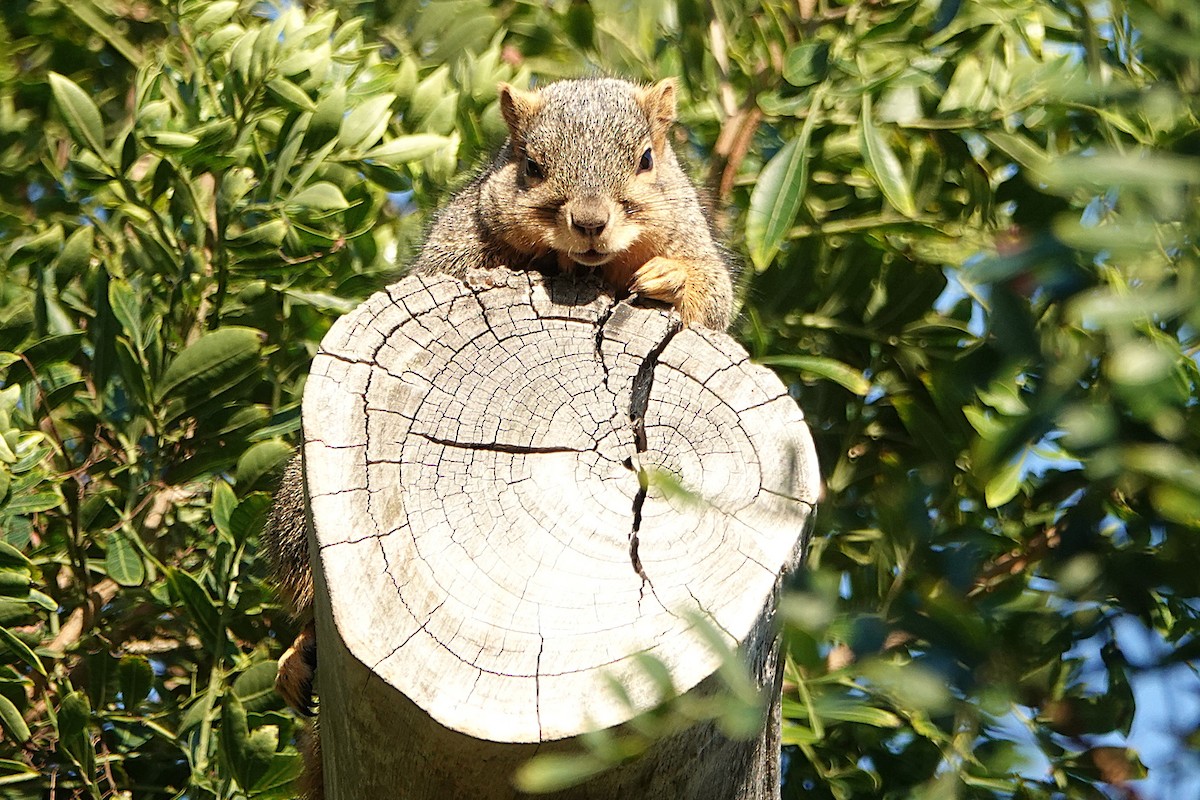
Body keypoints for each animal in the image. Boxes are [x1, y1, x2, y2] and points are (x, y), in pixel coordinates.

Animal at [260, 76, 735, 798]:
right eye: (531, 166)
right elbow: (454, 270)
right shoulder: (460, 235)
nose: (589, 222)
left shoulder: (693, 239)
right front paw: (501, 276)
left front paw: (668, 280)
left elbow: (713, 297)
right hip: (299, 506)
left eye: (648, 159)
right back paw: (299, 654)